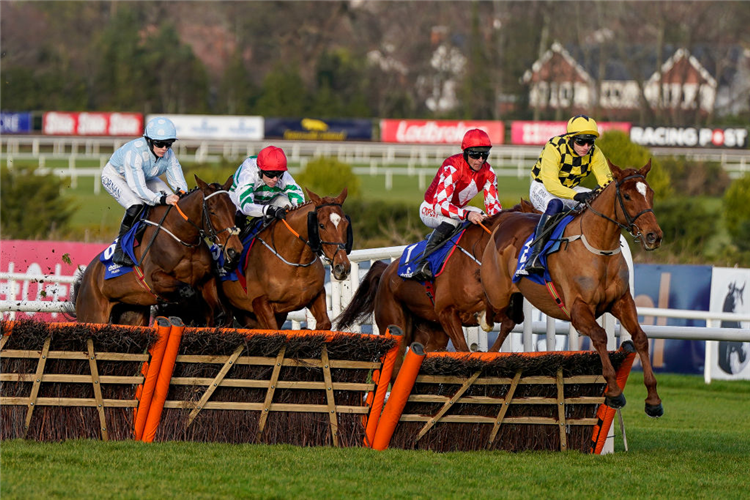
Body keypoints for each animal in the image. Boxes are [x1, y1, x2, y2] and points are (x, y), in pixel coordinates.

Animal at [73, 177, 241, 328]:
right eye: (212, 212)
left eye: (234, 210)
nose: (235, 250)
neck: (182, 238)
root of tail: (87, 276)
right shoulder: (154, 279)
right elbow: (189, 292)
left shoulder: (207, 279)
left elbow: (219, 312)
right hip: (93, 314)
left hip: (133, 313)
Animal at [222, 187, 354, 328]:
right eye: (321, 225)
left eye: (346, 224)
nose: (342, 267)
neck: (295, 264)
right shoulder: (260, 304)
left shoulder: (315, 295)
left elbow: (324, 323)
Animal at [334, 202, 536, 372]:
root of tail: (386, 271)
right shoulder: (446, 312)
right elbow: (463, 349)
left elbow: (509, 322)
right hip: (394, 324)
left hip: (432, 333)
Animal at [482, 160, 664, 418]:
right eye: (627, 196)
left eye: (651, 193)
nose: (653, 236)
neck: (599, 248)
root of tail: (504, 221)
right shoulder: (578, 310)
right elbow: (600, 335)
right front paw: (614, 391)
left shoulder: (621, 301)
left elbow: (640, 338)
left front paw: (653, 400)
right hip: (497, 292)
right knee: (487, 311)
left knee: (508, 321)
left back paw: (492, 352)